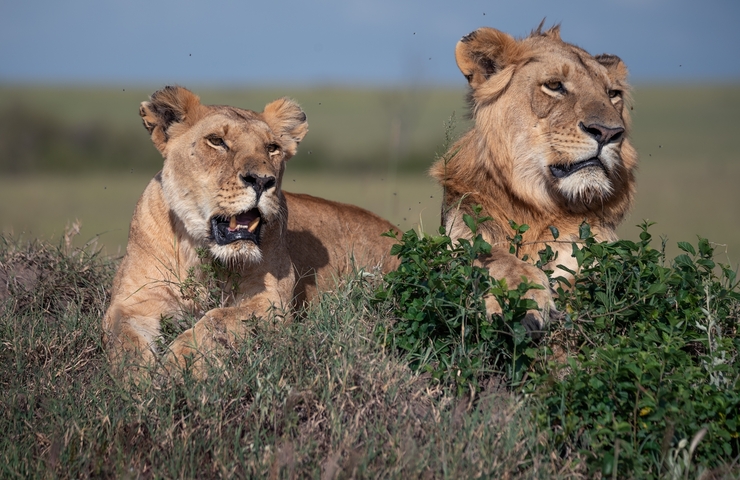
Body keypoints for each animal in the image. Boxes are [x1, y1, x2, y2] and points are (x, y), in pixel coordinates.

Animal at [103, 86, 398, 376]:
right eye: (217, 141)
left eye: (272, 148)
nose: (262, 180)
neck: (202, 254)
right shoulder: (133, 302)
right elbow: (125, 341)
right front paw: (137, 379)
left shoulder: (272, 300)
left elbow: (218, 318)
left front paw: (180, 359)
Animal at [430, 24, 638, 334]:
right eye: (554, 86)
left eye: (612, 93)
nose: (609, 132)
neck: (537, 205)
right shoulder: (459, 235)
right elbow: (493, 258)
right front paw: (522, 297)